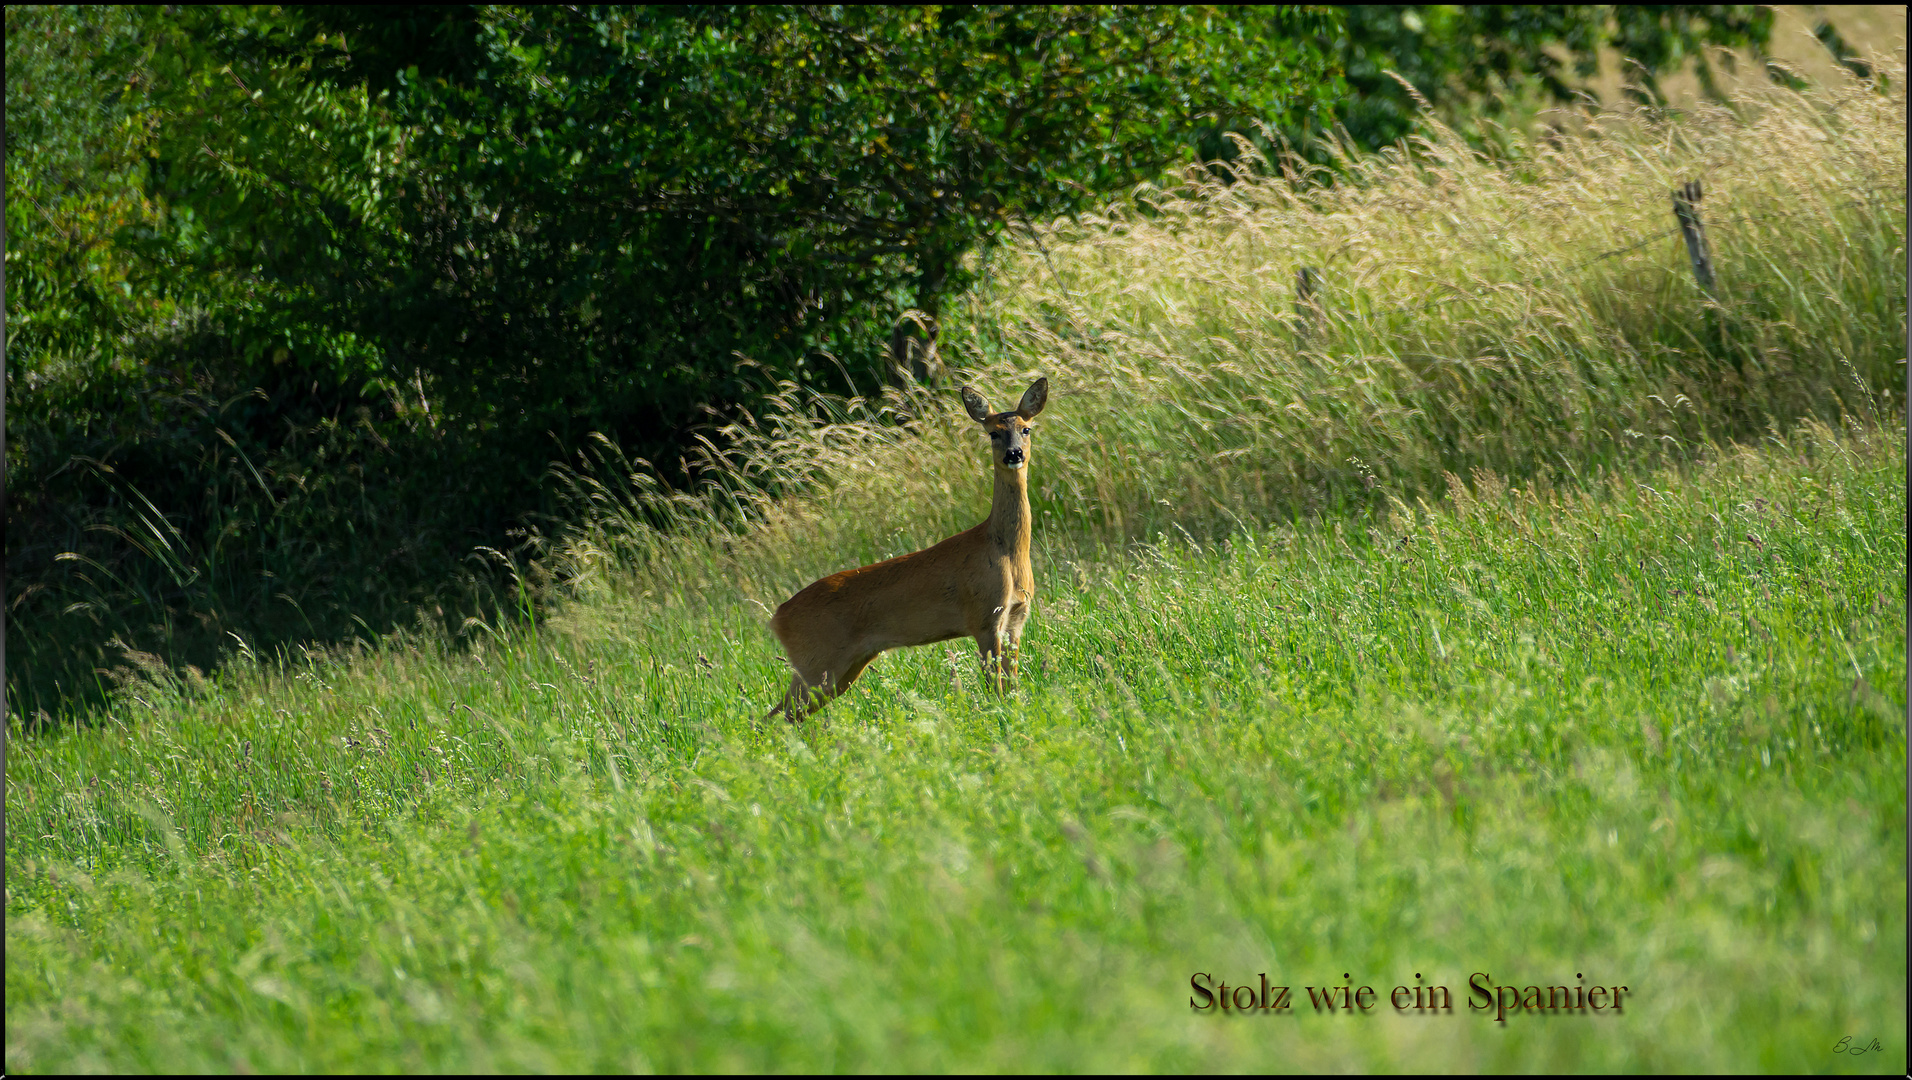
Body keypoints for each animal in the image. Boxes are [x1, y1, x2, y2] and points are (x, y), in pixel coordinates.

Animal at [768, 374, 1055, 718]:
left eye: (1026, 429)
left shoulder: (1015, 619)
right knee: (775, 717)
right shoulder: (984, 616)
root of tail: (777, 617)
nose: (1014, 454)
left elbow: (1012, 687)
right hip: (817, 662)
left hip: (842, 668)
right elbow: (995, 689)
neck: (1005, 550)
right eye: (993, 432)